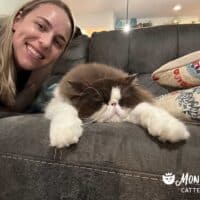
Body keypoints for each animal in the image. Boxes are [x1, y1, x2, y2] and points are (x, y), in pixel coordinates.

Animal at [44, 63, 190, 148]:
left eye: (121, 100)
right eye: (100, 101)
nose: (113, 104)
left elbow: (148, 110)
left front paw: (171, 129)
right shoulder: (58, 104)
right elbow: (67, 110)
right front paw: (64, 135)